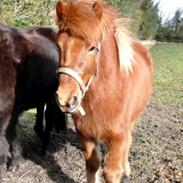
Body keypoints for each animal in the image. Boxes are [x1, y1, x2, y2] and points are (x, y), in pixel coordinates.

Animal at [55, 0, 153, 182]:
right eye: (59, 46)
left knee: (129, 142)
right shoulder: (85, 135)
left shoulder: (118, 139)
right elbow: (92, 164)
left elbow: (112, 173)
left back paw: (126, 168)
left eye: (92, 48)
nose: (65, 99)